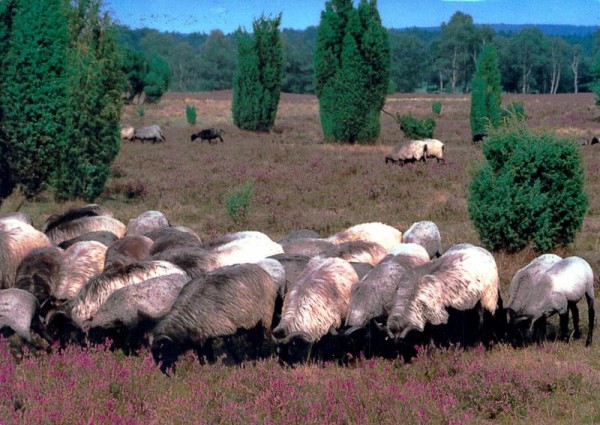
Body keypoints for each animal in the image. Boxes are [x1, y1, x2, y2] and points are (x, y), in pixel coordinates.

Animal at [150, 264, 282, 370]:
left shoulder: (227, 329)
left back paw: (257, 358)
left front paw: (241, 367)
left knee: (259, 339)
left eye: (161, 354)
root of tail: (261, 269)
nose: (166, 373)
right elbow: (204, 354)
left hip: (263, 316)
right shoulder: (203, 336)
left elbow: (234, 350)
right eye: (154, 356)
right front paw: (208, 368)